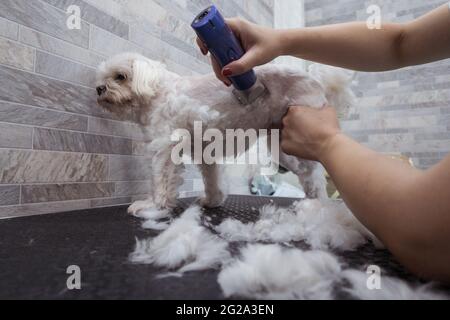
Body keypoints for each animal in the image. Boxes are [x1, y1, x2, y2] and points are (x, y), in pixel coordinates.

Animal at [96, 53, 356, 215]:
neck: (156, 91)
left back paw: (317, 204)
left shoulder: (163, 148)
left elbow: (159, 180)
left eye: (120, 76)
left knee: (313, 175)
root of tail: (317, 80)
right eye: (102, 78)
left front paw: (152, 206)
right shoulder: (205, 154)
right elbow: (213, 181)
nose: (99, 88)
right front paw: (212, 201)